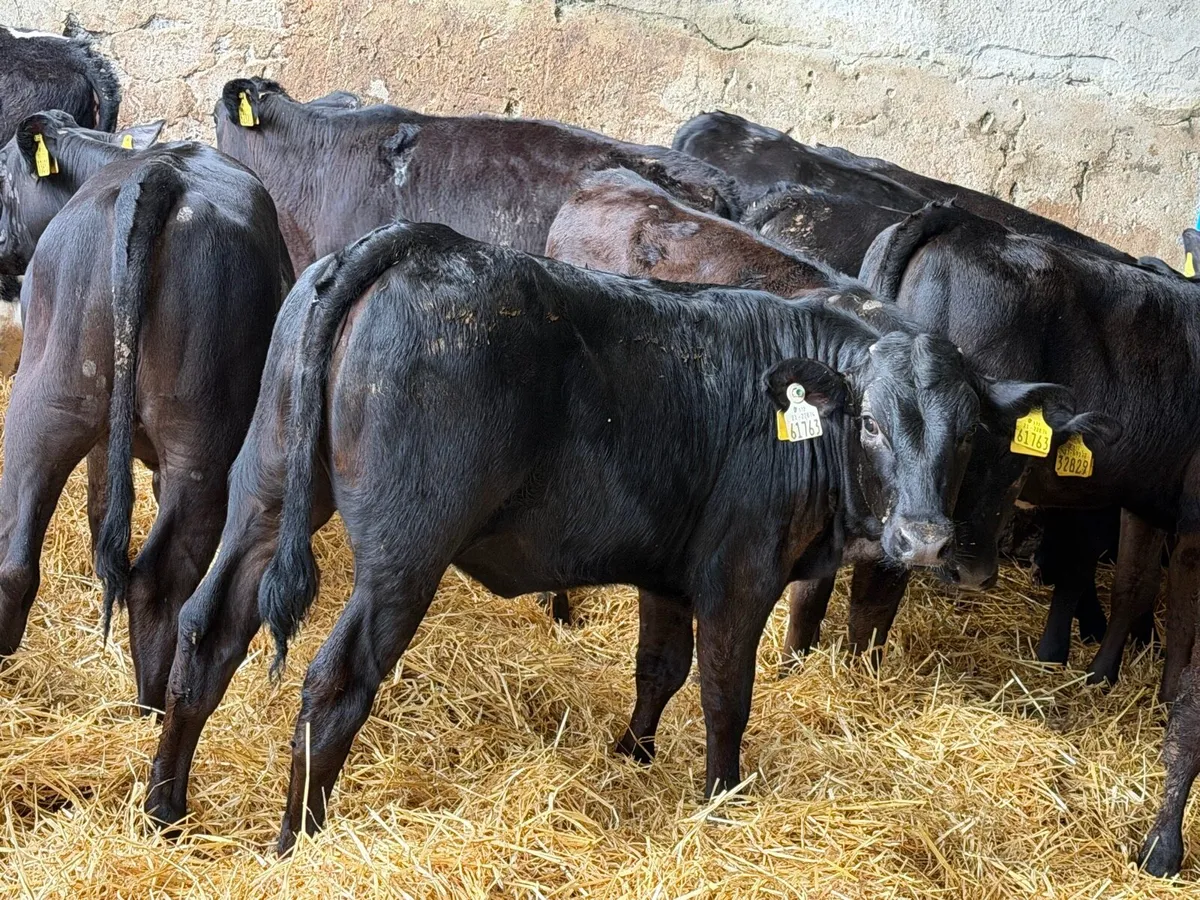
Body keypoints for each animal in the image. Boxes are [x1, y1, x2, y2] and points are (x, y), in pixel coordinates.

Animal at [0, 112, 292, 715]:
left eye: (0, 172)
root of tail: (158, 176)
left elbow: (98, 503)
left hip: (45, 403)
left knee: (13, 559)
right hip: (201, 447)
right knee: (159, 582)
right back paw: (150, 707)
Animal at [141, 219, 1088, 853]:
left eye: (966, 438)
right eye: (873, 426)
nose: (926, 539)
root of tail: (415, 243)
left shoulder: (670, 573)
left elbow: (660, 669)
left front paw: (633, 754)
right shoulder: (739, 575)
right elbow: (725, 693)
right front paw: (721, 798)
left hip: (265, 494)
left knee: (208, 634)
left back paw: (165, 810)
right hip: (403, 557)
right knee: (334, 682)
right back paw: (294, 841)